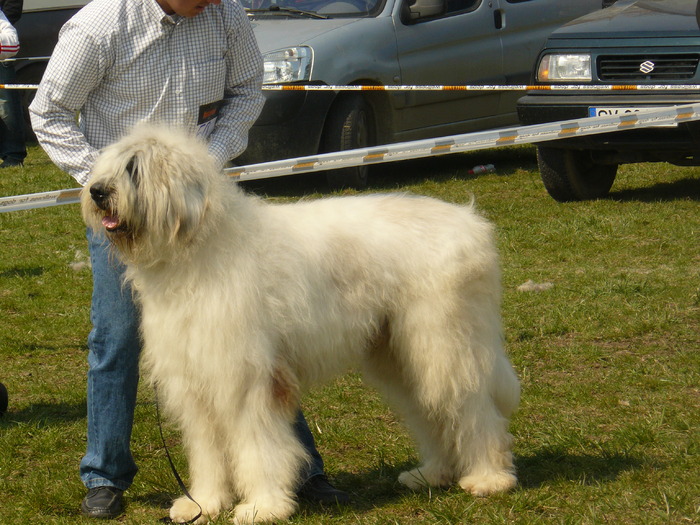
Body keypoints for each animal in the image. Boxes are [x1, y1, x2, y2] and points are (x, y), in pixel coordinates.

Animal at [80, 124, 520, 524]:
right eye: (110, 163)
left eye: (134, 167)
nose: (97, 192)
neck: (199, 246)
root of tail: (471, 222)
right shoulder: (196, 380)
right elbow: (207, 450)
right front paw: (203, 503)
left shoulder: (247, 377)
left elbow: (257, 445)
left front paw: (262, 506)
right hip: (400, 352)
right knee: (431, 409)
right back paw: (433, 474)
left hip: (445, 342)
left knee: (472, 408)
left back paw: (488, 477)